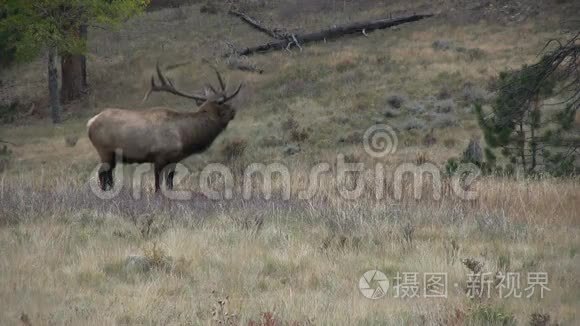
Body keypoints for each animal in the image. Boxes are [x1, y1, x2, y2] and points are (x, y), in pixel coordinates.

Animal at [86, 62, 242, 192]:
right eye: (222, 103)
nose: (234, 110)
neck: (184, 136)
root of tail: (90, 122)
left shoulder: (174, 159)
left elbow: (170, 183)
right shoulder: (159, 156)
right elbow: (157, 185)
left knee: (108, 175)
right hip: (104, 150)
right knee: (102, 174)